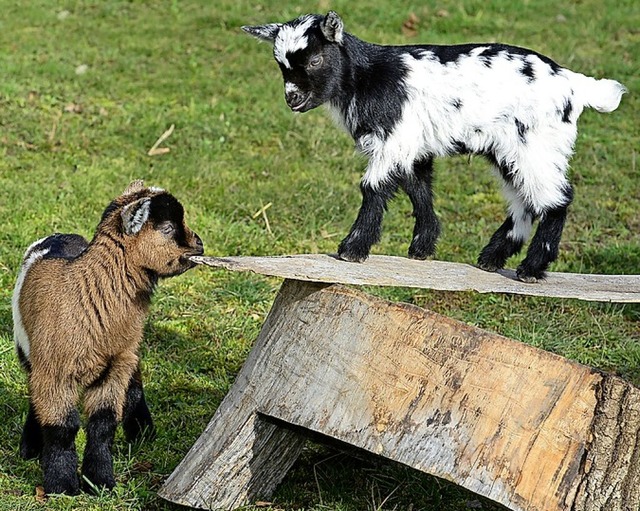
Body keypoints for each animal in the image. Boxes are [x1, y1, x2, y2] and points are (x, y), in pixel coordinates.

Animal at [13, 180, 202, 496]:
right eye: (166, 227)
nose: (199, 243)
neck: (87, 293)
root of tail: (60, 236)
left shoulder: (114, 366)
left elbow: (102, 424)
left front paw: (99, 481)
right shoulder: (54, 370)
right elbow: (61, 428)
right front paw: (62, 486)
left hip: (128, 351)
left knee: (135, 382)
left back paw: (142, 433)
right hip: (28, 351)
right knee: (33, 395)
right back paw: (30, 448)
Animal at [244, 12, 624, 282]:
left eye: (314, 60)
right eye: (280, 64)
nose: (293, 99)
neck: (369, 77)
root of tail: (574, 83)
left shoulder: (393, 140)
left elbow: (374, 187)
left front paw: (352, 249)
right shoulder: (413, 146)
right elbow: (419, 189)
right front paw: (423, 247)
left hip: (536, 144)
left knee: (556, 199)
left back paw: (530, 269)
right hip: (508, 151)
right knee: (525, 200)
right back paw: (491, 258)